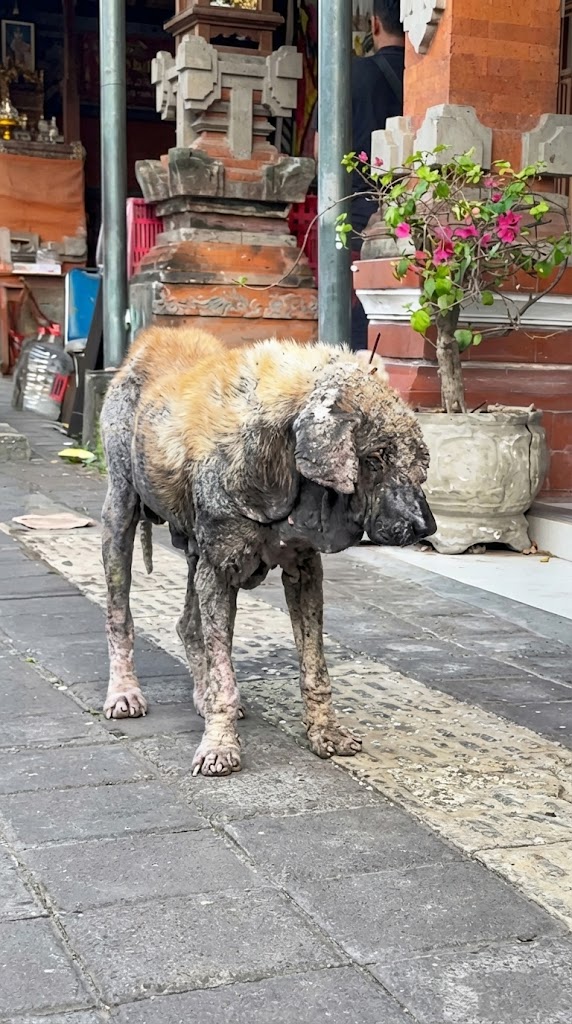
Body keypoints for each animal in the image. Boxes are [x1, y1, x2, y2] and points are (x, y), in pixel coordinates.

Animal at [100, 327, 435, 776]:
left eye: (417, 458)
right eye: (376, 457)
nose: (426, 527)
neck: (280, 464)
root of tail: (151, 338)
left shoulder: (305, 571)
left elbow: (314, 666)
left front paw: (324, 733)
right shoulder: (219, 570)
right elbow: (224, 673)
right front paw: (220, 745)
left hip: (194, 551)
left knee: (188, 625)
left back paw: (200, 695)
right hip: (119, 516)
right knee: (120, 616)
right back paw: (124, 692)